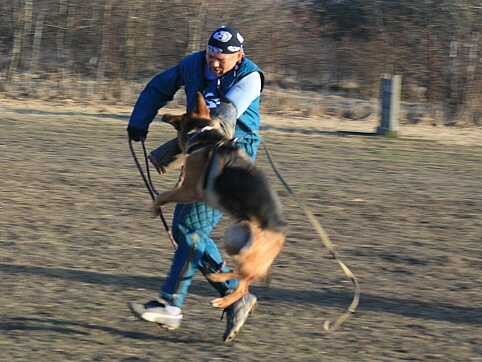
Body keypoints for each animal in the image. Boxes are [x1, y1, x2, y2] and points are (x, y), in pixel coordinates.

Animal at [153, 92, 286, 306]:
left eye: (180, 118)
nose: (164, 115)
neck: (205, 135)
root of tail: (281, 231)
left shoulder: (190, 189)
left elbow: (163, 195)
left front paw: (154, 206)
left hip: (248, 255)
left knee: (244, 284)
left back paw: (221, 299)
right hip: (233, 242)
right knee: (240, 274)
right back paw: (217, 277)